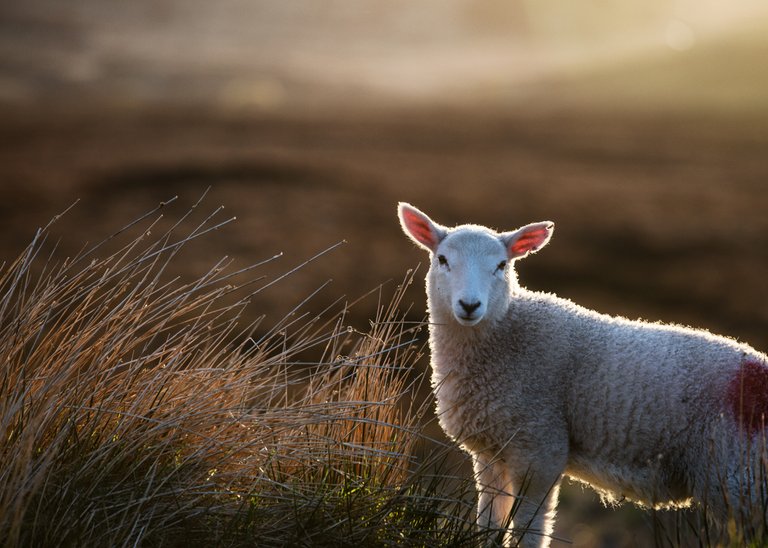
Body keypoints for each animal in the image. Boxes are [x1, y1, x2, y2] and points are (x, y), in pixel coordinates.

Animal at [396, 202, 768, 548]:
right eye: (443, 259)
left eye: (502, 266)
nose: (470, 306)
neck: (506, 334)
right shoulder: (490, 452)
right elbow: (488, 523)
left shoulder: (540, 447)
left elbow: (529, 530)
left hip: (739, 477)